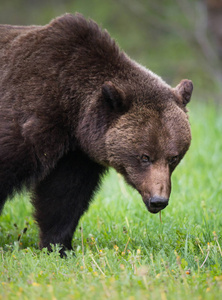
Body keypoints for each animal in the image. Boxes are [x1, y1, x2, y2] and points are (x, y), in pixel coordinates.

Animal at [0, 12, 193, 254]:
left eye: (173, 157)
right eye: (144, 156)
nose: (159, 200)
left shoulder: (78, 153)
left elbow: (63, 196)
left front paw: (58, 246)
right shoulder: (30, 115)